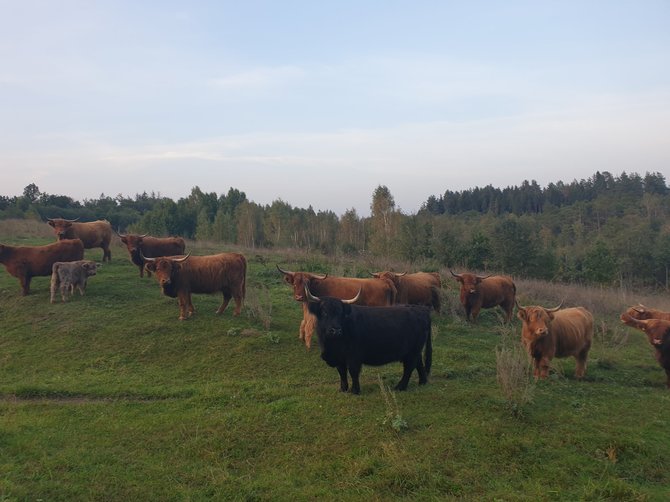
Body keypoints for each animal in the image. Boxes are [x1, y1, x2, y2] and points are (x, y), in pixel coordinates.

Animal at [306, 284, 434, 394]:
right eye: (324, 312)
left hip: (413, 350)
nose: (336, 330)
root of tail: (421, 310)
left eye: (341, 313)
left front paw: (355, 390)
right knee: (419, 364)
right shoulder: (339, 357)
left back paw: (400, 387)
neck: (332, 345)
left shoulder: (354, 356)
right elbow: (342, 372)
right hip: (414, 350)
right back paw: (422, 382)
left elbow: (353, 372)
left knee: (409, 367)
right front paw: (343, 389)